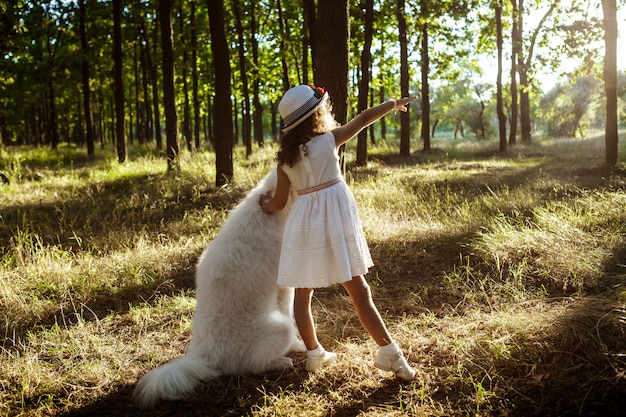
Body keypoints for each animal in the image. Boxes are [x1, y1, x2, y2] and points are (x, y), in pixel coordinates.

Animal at [133, 169, 304, 406]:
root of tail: (203, 356)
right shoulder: (286, 289)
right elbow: (292, 318)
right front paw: (299, 346)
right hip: (280, 330)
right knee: (249, 368)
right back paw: (281, 361)